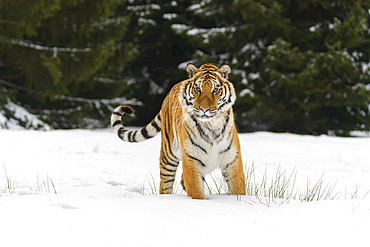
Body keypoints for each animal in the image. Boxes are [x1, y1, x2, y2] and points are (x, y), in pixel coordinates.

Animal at [111, 63, 247, 199]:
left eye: (215, 90)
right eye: (198, 89)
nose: (204, 109)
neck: (211, 126)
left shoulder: (232, 159)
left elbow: (238, 189)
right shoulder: (191, 159)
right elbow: (196, 191)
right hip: (168, 156)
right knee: (165, 185)